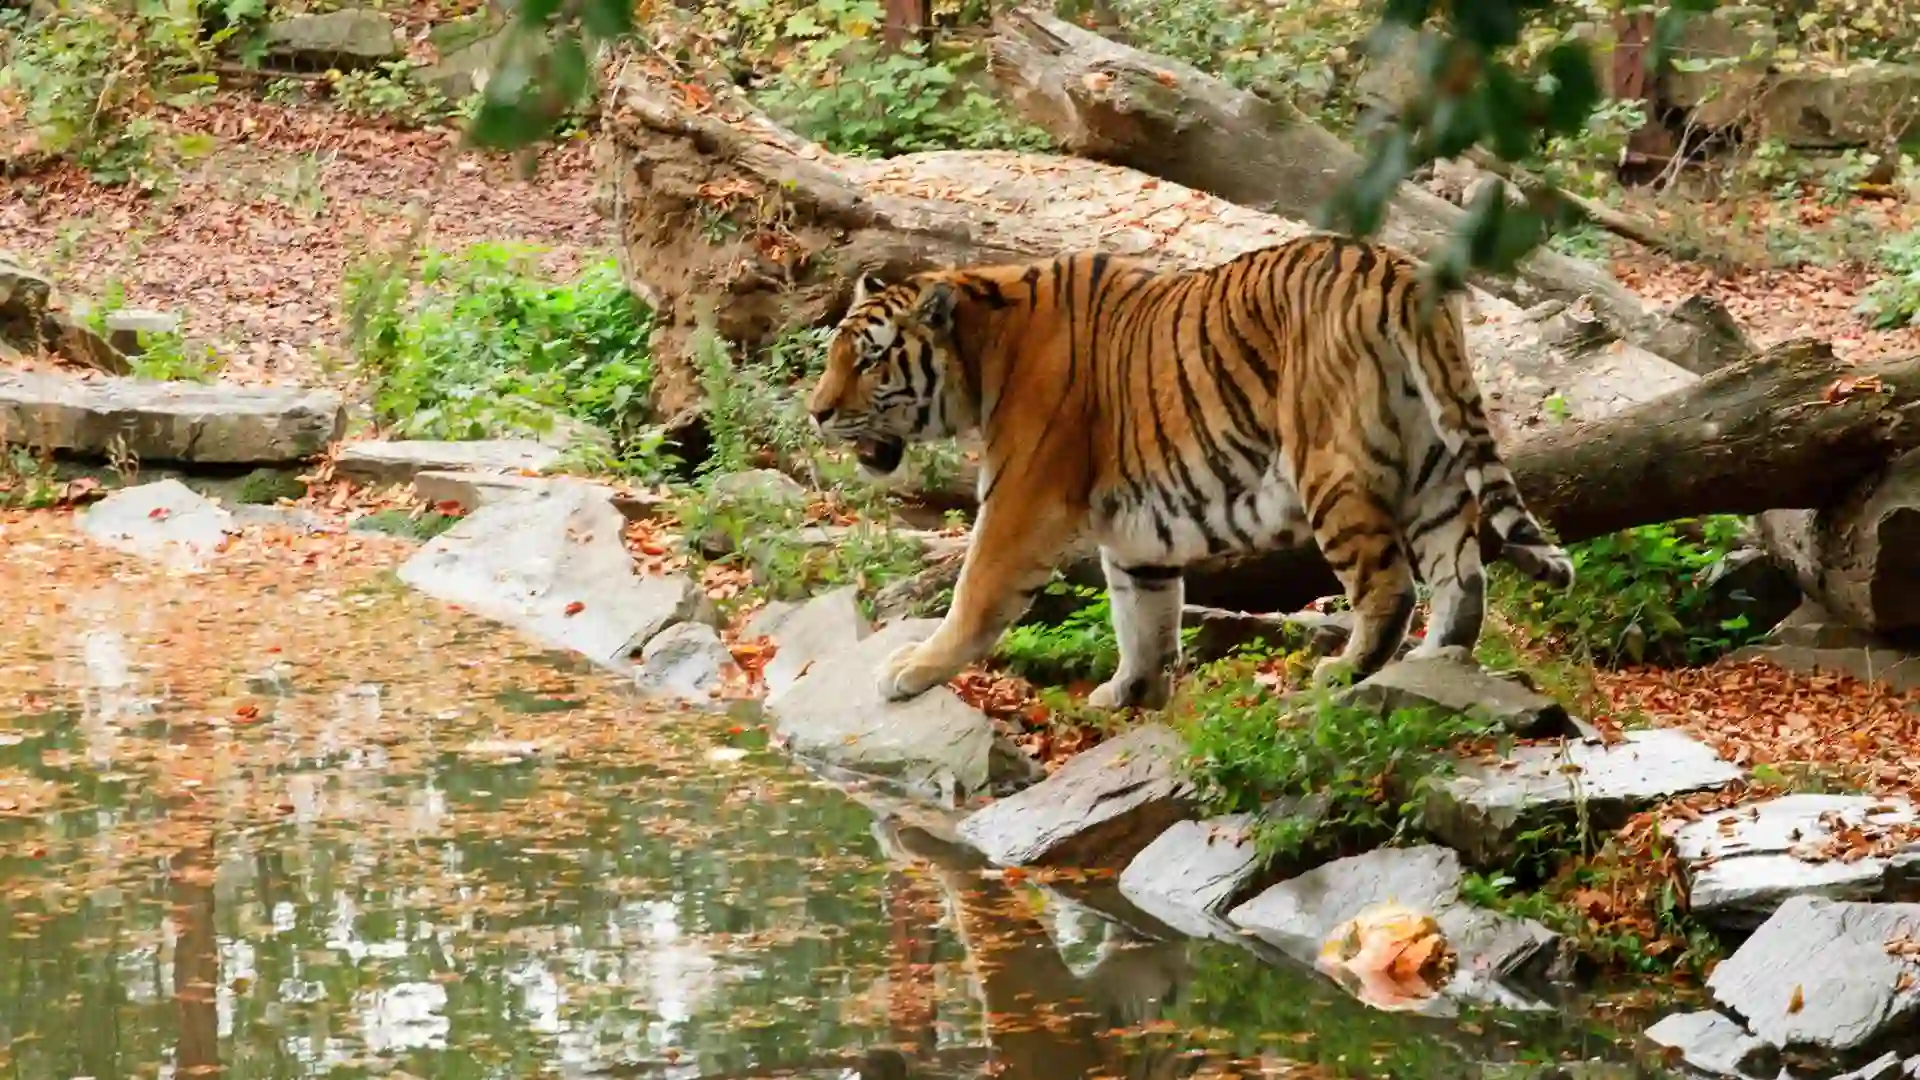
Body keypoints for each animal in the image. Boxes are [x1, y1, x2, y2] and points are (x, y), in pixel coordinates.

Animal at [806, 233, 1575, 710]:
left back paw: (1346, 671)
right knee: (1462, 580)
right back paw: (1436, 665)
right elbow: (1142, 613)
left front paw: (911, 671)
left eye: (869, 361)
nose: (815, 413)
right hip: (1436, 471)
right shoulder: (1135, 530)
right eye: (836, 355)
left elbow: (974, 595)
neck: (982, 347)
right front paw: (1131, 693)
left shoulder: (1021, 500)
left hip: (1332, 471)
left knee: (1389, 587)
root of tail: (1399, 270)